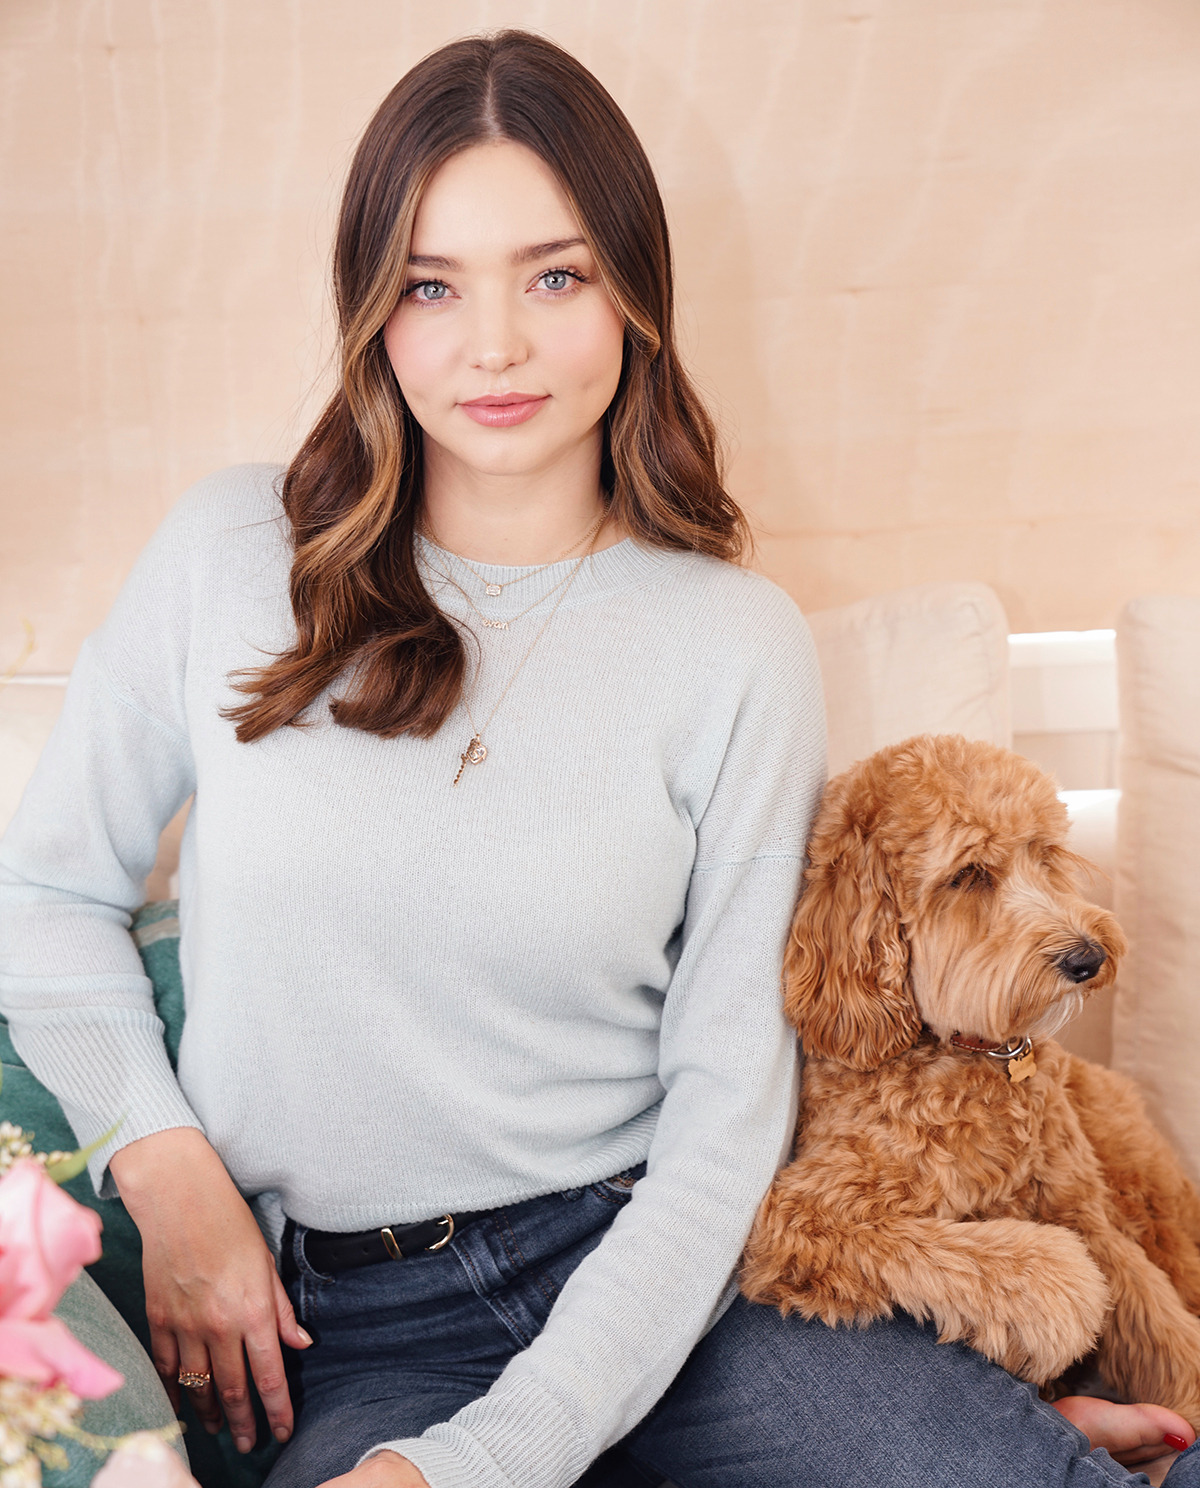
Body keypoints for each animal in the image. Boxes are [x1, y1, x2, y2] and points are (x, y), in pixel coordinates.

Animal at [741, 738, 1200, 1422]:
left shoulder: (1087, 1212)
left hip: (1143, 1186)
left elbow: (1163, 1327)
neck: (978, 1057)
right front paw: (1056, 1305)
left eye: (1042, 852)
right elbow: (978, 1256)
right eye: (969, 875)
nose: (1088, 957)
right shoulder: (803, 1217)